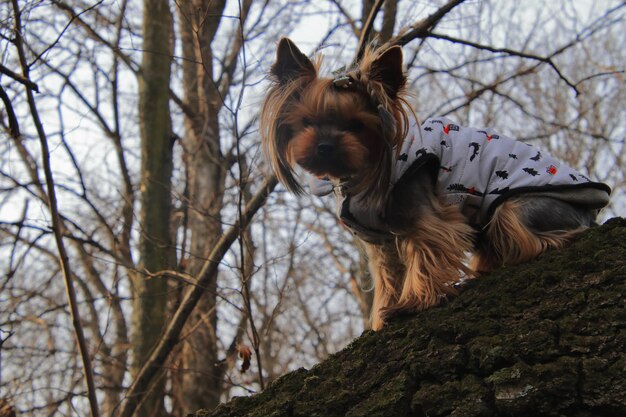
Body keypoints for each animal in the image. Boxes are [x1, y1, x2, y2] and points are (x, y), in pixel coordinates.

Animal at [260, 37, 608, 330]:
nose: (325, 147)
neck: (367, 170)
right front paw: (380, 318)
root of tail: (590, 211)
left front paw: (411, 304)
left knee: (529, 233)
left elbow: (426, 250)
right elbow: (387, 276)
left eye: (357, 125)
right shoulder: (379, 241)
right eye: (307, 122)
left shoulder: (425, 210)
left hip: (523, 206)